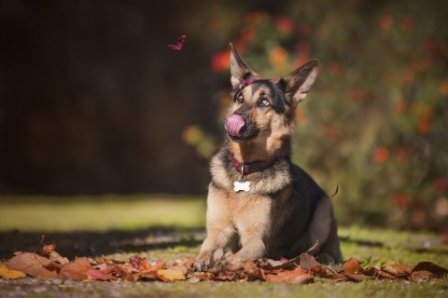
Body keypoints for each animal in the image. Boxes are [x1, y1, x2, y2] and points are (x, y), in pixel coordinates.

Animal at [194, 43, 342, 268]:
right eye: (240, 98)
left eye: (264, 102)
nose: (232, 119)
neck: (245, 170)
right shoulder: (217, 231)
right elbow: (207, 250)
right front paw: (204, 260)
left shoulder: (256, 242)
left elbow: (236, 257)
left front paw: (224, 262)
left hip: (324, 211)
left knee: (322, 250)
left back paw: (323, 258)